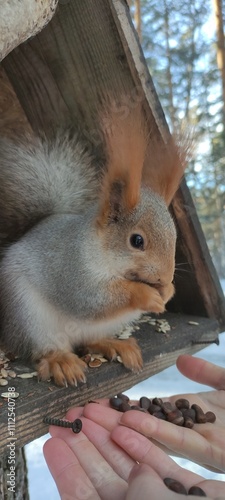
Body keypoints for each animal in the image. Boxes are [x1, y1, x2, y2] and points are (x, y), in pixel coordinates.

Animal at [0, 102, 188, 386]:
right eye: (137, 241)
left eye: (174, 236)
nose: (165, 278)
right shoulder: (71, 270)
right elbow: (92, 299)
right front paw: (146, 295)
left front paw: (168, 291)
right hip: (29, 318)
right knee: (46, 348)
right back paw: (61, 361)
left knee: (90, 341)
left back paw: (115, 345)